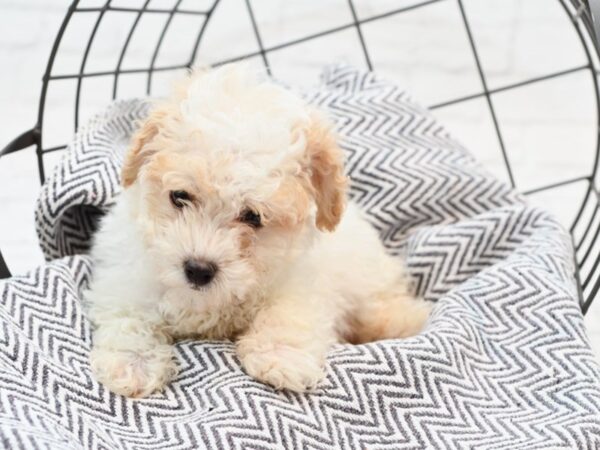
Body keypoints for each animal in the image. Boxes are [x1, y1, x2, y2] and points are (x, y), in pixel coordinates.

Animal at [86, 64, 428, 398]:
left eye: (252, 217)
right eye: (179, 196)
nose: (198, 269)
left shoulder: (303, 281)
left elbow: (288, 311)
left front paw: (281, 356)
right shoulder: (125, 277)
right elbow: (130, 315)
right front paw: (133, 363)